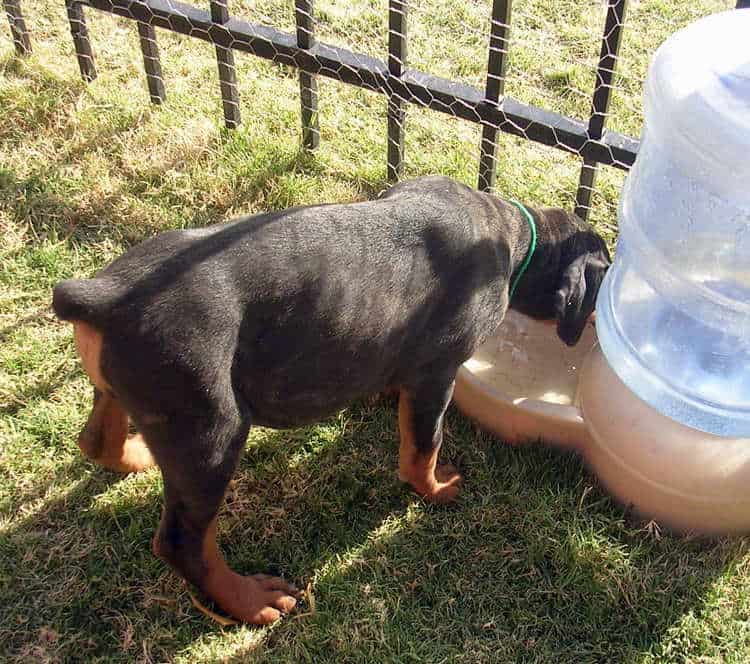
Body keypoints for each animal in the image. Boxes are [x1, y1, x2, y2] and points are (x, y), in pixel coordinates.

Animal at [54, 175, 612, 624]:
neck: (513, 235)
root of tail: (103, 294)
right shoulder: (437, 375)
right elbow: (423, 445)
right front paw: (434, 489)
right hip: (210, 428)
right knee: (183, 543)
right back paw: (249, 601)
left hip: (128, 393)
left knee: (96, 441)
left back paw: (138, 455)